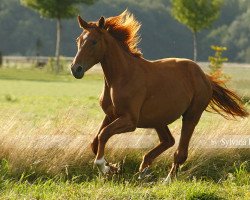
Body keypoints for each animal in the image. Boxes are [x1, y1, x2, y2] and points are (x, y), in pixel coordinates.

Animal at [70, 10, 248, 181]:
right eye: (78, 40)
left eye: (94, 41)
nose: (75, 69)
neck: (121, 77)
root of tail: (204, 77)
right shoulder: (110, 115)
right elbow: (95, 141)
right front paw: (114, 168)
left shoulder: (130, 120)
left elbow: (103, 135)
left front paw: (105, 167)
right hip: (158, 119)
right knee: (168, 140)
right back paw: (144, 169)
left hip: (191, 115)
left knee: (180, 152)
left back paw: (166, 180)